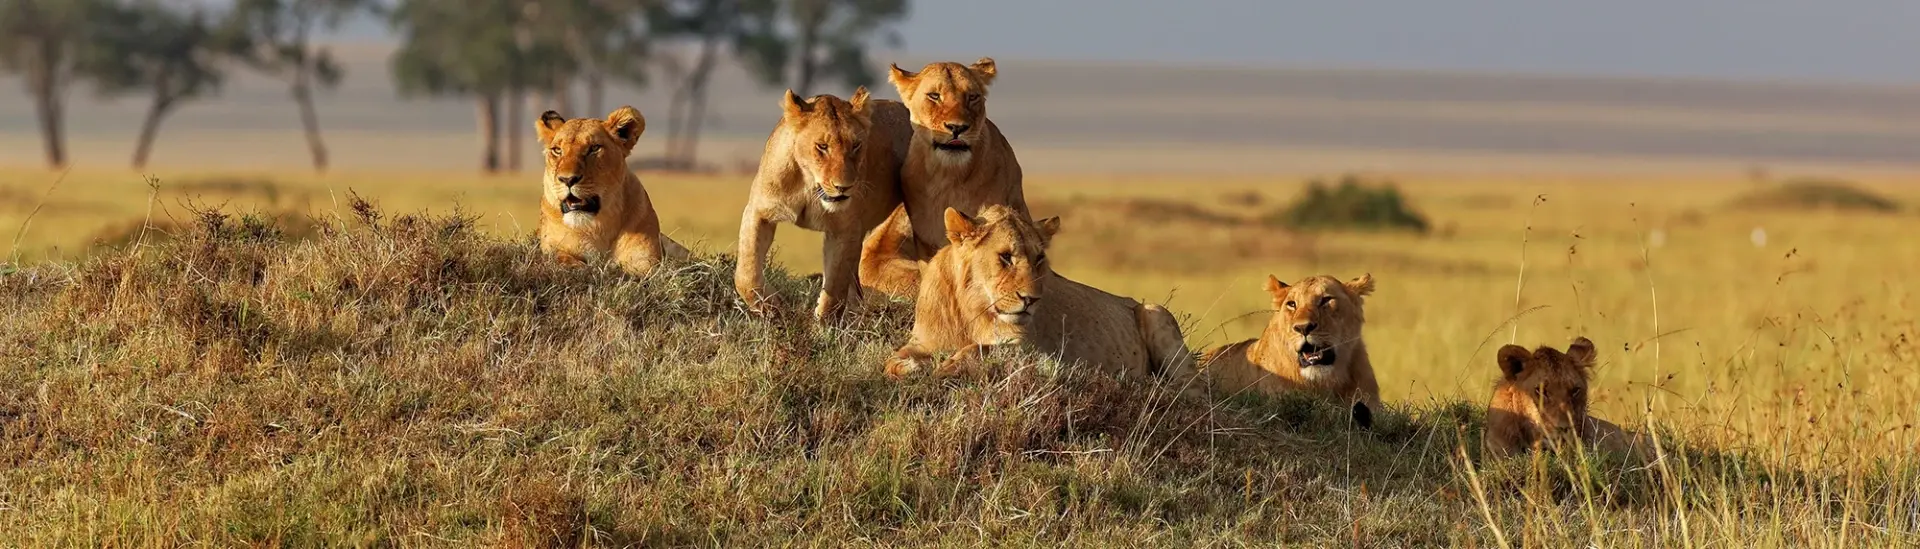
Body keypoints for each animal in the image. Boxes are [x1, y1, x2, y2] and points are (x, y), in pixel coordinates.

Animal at [535, 106, 688, 274]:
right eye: (557, 150)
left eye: (594, 148)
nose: (567, 179)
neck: (598, 228)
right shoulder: (552, 246)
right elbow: (562, 258)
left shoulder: (646, 260)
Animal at [733, 87, 912, 321]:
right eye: (822, 146)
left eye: (856, 145)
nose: (844, 187)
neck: (810, 187)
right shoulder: (759, 211)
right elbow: (746, 271)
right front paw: (770, 307)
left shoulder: (845, 229)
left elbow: (835, 285)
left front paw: (824, 323)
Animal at [883, 205, 1193, 379]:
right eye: (1005, 257)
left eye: (1039, 258)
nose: (1031, 300)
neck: (971, 309)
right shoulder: (922, 342)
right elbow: (892, 360)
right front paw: (910, 367)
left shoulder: (1031, 350)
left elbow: (979, 349)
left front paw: (946, 367)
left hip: (1156, 313)